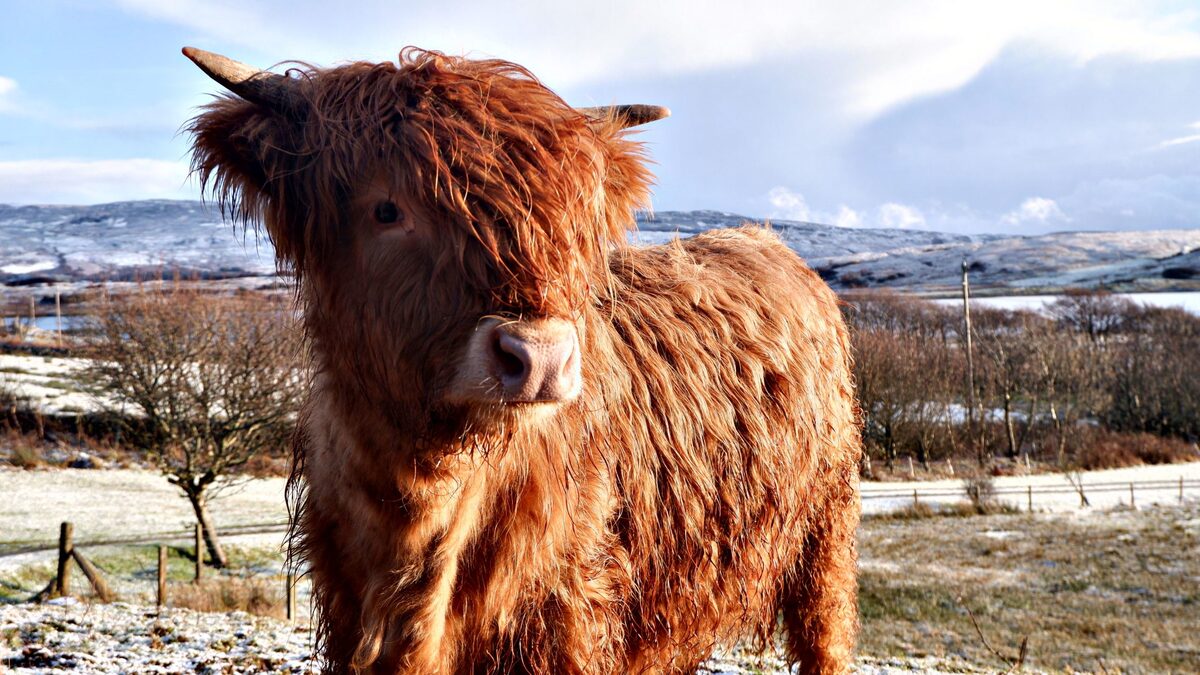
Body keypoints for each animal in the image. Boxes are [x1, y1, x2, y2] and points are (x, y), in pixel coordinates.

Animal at [184, 45, 864, 672]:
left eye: (566, 219)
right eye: (386, 209)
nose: (539, 357)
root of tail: (767, 240)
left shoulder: (570, 616)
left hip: (826, 534)